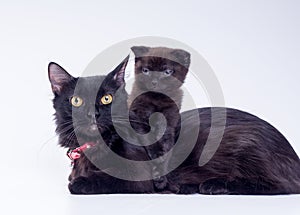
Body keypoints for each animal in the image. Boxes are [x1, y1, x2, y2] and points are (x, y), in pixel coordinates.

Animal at [48, 56, 155, 194]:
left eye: (106, 98)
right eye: (76, 100)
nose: (93, 114)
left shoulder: (138, 173)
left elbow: (109, 176)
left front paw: (79, 182)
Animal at [128, 46, 190, 191]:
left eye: (167, 72)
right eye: (146, 70)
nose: (154, 82)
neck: (157, 100)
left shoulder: (170, 122)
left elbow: (167, 146)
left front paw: (161, 177)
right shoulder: (138, 117)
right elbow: (149, 138)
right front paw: (157, 156)